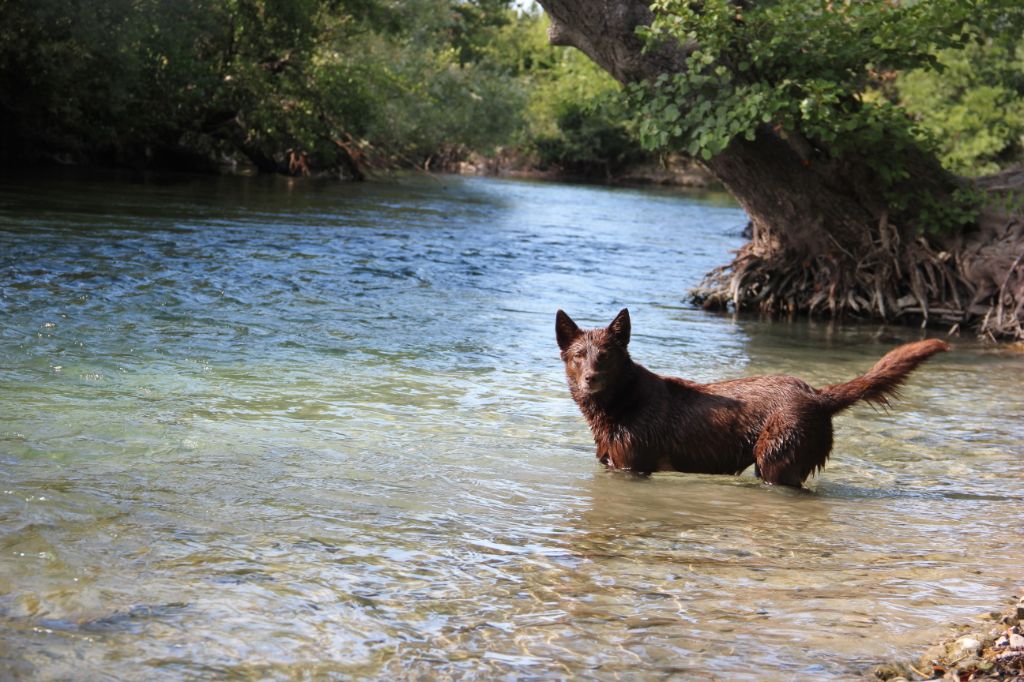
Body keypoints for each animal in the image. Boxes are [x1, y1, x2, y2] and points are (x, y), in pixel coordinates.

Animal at [557, 305, 946, 485]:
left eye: (606, 356)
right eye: (579, 356)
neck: (621, 401)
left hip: (777, 459)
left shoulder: (633, 466)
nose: (590, 379)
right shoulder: (611, 464)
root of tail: (817, 396)